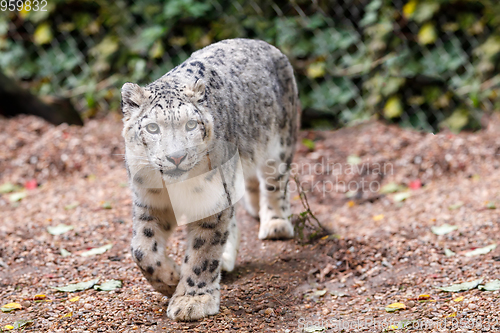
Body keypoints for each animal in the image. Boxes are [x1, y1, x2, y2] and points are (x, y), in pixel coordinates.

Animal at [120, 37, 300, 320]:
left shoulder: (210, 198)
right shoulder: (149, 200)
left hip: (280, 143)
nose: (176, 157)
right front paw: (170, 278)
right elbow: (142, 248)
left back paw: (275, 224)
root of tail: (259, 42)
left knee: (275, 183)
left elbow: (203, 251)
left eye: (191, 125)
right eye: (152, 128)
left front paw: (192, 300)